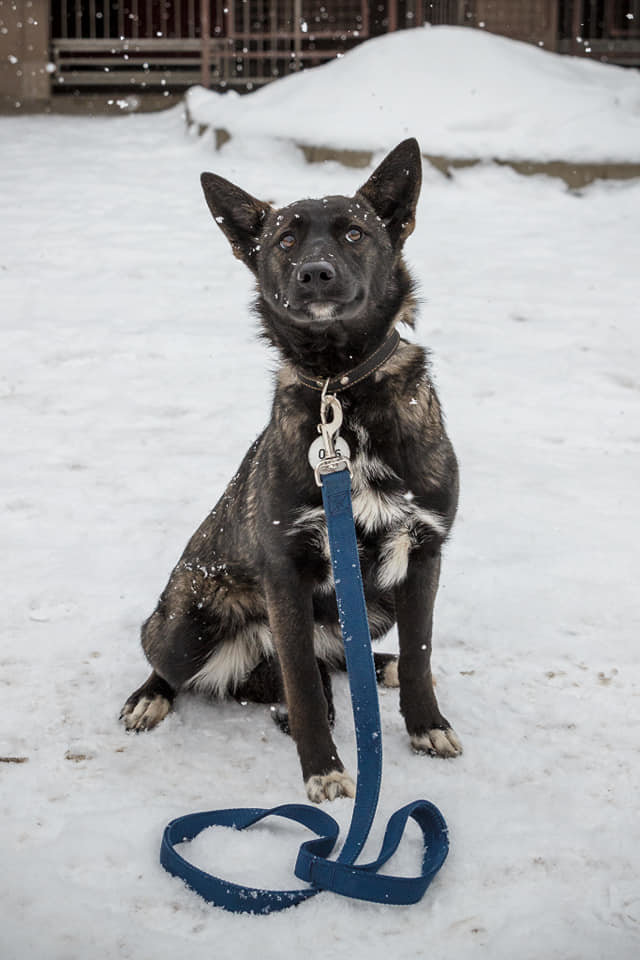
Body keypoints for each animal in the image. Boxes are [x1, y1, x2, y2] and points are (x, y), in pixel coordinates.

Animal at [120, 133, 460, 796]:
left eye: (354, 232)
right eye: (284, 240)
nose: (315, 273)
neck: (342, 388)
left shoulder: (424, 552)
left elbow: (422, 655)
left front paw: (426, 725)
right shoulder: (287, 573)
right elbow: (302, 684)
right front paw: (323, 769)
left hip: (376, 608)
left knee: (342, 660)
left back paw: (376, 667)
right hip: (186, 621)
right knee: (174, 659)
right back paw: (151, 696)